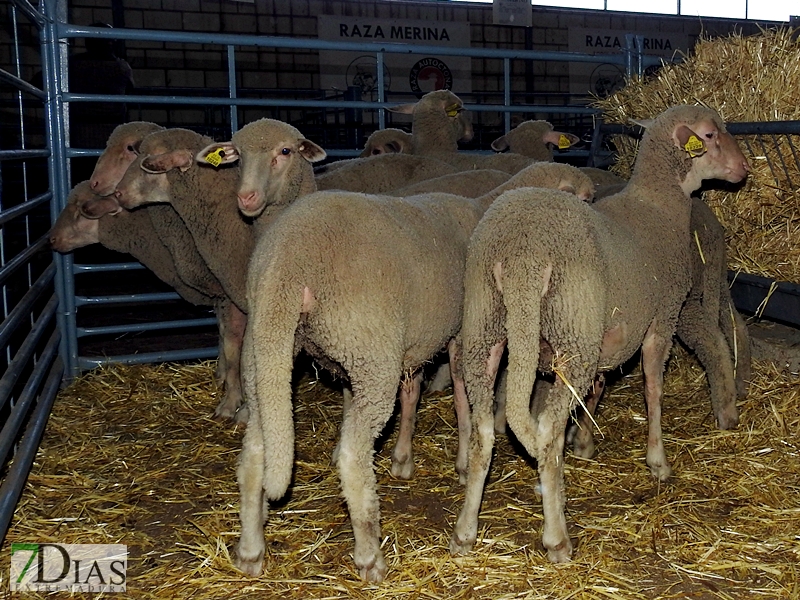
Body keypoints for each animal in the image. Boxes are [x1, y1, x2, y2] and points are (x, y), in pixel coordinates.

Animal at [222, 123, 596, 580]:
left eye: (283, 152)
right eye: (586, 199)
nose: (247, 198)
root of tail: (286, 262)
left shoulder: (419, 338)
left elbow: (419, 392)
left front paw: (408, 458)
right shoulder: (459, 333)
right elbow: (462, 397)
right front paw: (462, 460)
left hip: (268, 349)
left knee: (255, 452)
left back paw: (250, 551)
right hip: (368, 350)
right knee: (354, 456)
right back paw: (370, 557)